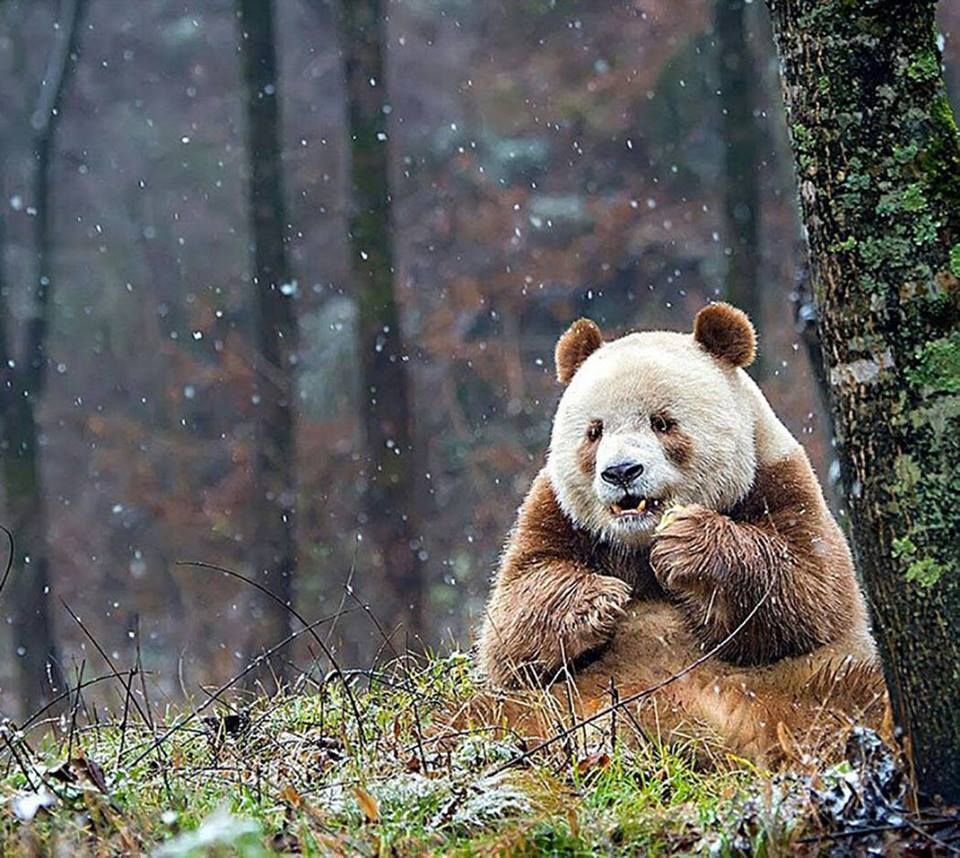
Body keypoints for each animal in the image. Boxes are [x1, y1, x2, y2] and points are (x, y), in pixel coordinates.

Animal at [473, 304, 884, 762]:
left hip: (801, 684)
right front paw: (599, 600)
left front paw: (689, 546)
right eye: (594, 431)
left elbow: (808, 593)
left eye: (662, 423)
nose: (621, 472)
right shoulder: (555, 511)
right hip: (553, 702)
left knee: (856, 695)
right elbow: (512, 621)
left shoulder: (779, 481)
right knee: (481, 714)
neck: (638, 540)